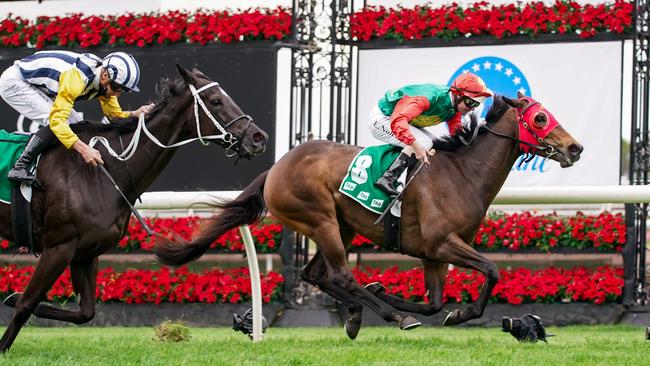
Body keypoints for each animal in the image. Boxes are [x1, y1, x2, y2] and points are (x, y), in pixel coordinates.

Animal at [0, 64, 266, 350]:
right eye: (216, 101)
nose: (259, 137)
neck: (103, 170)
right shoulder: (59, 246)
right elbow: (27, 304)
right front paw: (6, 338)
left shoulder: (85, 252)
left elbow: (85, 312)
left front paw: (12, 297)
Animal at [157, 93, 584, 338]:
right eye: (541, 118)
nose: (574, 148)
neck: (463, 173)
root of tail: (276, 168)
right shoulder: (442, 243)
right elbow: (492, 271)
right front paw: (458, 312)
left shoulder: (434, 254)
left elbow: (434, 303)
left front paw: (396, 296)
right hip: (320, 220)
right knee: (340, 275)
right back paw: (387, 316)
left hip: (341, 225)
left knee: (316, 274)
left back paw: (355, 314)